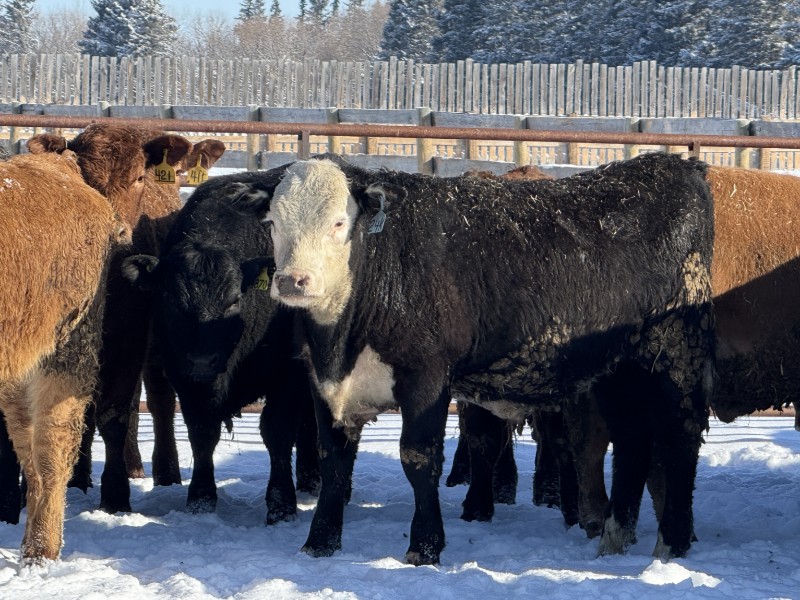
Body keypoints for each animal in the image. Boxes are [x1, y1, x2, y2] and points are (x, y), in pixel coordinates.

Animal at [121, 170, 320, 521]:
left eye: (233, 301)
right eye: (172, 301)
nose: (203, 361)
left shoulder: (289, 373)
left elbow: (277, 431)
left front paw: (282, 504)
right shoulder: (185, 376)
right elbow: (202, 432)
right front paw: (201, 499)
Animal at [260, 152, 715, 565]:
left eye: (339, 222)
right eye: (273, 223)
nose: (293, 281)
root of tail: (674, 165)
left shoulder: (426, 377)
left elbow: (418, 458)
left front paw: (425, 547)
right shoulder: (324, 381)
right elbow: (333, 461)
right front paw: (319, 543)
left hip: (677, 357)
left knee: (680, 436)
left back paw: (671, 544)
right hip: (619, 370)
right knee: (632, 441)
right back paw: (615, 539)